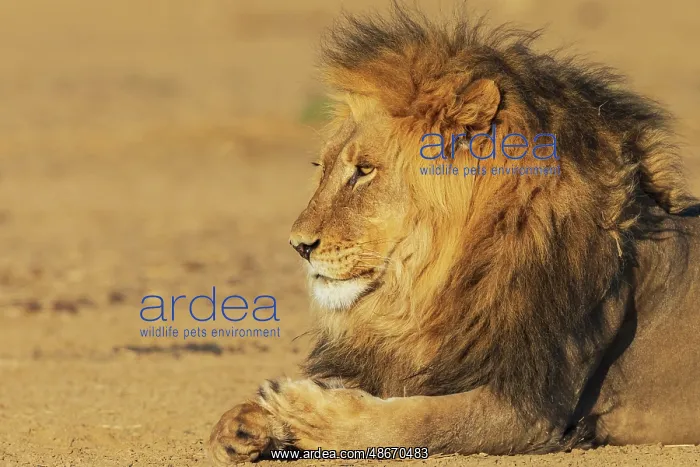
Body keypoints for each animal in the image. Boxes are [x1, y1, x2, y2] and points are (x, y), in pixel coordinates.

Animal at [209, 5, 700, 464]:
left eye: (364, 170)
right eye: (322, 167)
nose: (299, 246)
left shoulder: (533, 408)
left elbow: (417, 420)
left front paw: (307, 411)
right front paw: (244, 422)